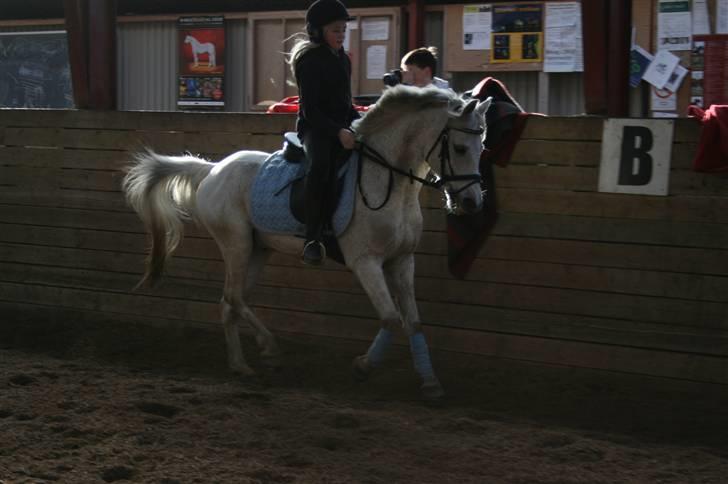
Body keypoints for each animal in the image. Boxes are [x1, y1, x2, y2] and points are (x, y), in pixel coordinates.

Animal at [123, 87, 490, 400]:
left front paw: (430, 383)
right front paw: (363, 367)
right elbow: (389, 317)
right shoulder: (366, 262)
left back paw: (241, 366)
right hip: (236, 244)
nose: (471, 203)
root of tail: (213, 169)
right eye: (459, 148)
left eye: (482, 148)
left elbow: (413, 321)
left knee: (231, 302)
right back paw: (269, 349)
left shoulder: (402, 260)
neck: (388, 180)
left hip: (257, 250)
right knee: (234, 297)